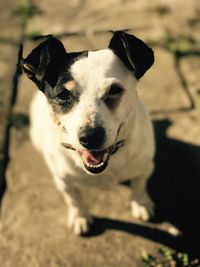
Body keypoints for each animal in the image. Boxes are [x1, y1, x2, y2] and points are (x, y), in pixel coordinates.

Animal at [22, 31, 155, 236]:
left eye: (114, 90)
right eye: (62, 95)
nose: (91, 137)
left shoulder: (145, 166)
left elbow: (139, 186)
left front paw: (140, 204)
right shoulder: (63, 180)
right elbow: (74, 199)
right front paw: (80, 217)